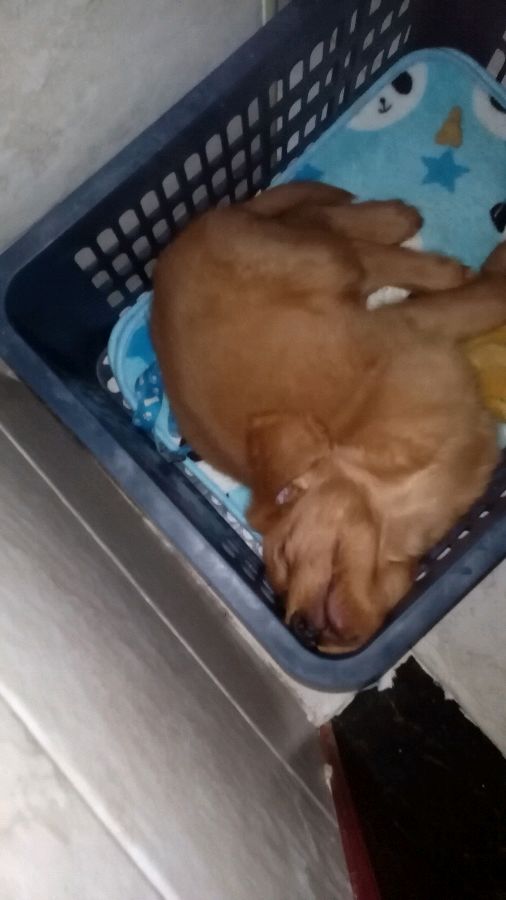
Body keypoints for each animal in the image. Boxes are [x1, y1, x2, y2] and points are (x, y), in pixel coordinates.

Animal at [152, 182, 506, 651]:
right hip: (313, 258)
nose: (301, 628)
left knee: (345, 238)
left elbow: (486, 300)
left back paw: (411, 238)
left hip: (314, 259)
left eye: (284, 555)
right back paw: (405, 229)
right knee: (330, 228)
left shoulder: (414, 322)